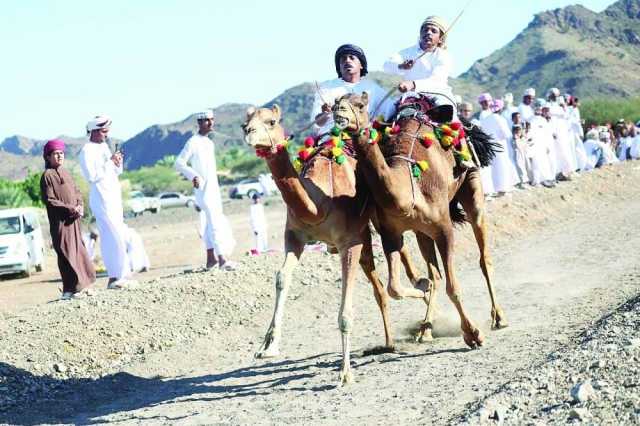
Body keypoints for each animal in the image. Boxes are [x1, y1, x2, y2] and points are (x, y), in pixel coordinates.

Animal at [242, 98, 402, 384]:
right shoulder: (294, 235)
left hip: (373, 226)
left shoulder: (348, 241)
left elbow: (346, 310)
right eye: (245, 123)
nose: (249, 133)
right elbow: (281, 278)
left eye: (271, 122)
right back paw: (390, 341)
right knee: (379, 286)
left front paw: (345, 372)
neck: (318, 204)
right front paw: (268, 346)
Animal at [338, 94, 508, 350]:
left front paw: (473, 334)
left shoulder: (444, 228)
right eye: (335, 102)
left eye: (360, 105)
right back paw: (425, 328)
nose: (339, 112)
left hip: (471, 184)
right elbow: (395, 288)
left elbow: (453, 288)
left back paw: (498, 317)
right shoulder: (390, 234)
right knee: (435, 274)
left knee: (483, 256)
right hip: (421, 232)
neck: (407, 191)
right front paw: (423, 288)